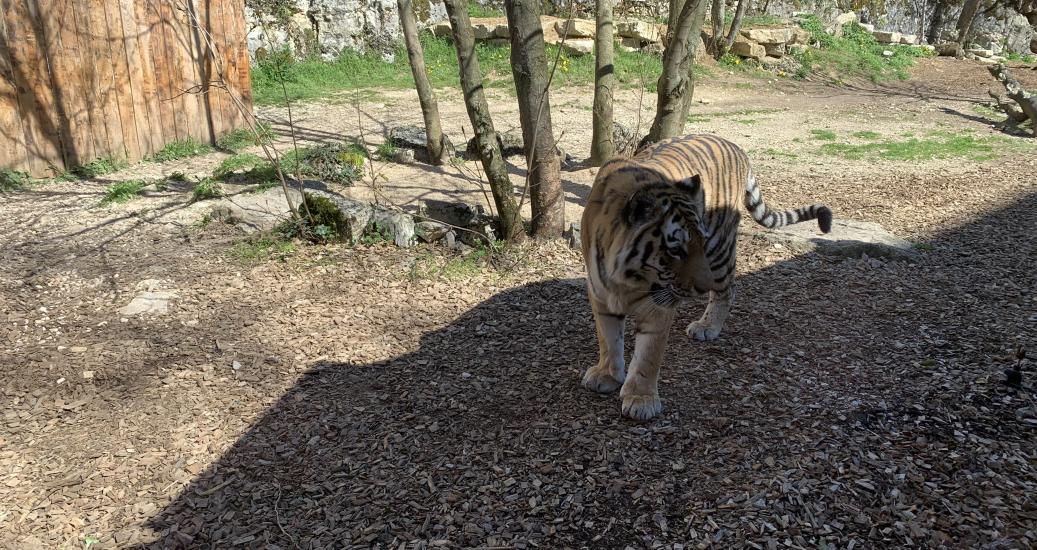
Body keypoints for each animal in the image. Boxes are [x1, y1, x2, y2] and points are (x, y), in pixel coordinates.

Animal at [580, 133, 829, 419]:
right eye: (675, 249)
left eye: (700, 241)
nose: (702, 286)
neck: (626, 279)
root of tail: (735, 146)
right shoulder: (600, 295)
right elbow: (608, 340)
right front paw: (607, 375)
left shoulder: (659, 305)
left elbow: (648, 356)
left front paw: (641, 399)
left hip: (720, 249)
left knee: (728, 289)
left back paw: (707, 326)